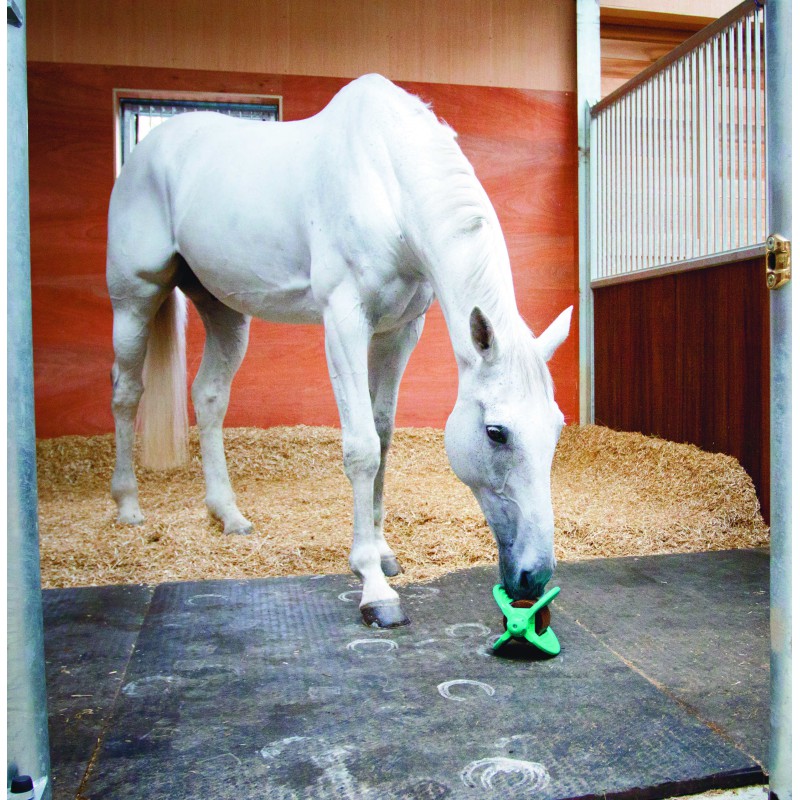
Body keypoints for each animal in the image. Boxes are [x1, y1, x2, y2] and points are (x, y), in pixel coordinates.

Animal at [107, 74, 572, 628]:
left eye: (557, 428)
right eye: (495, 433)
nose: (534, 577)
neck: (386, 179)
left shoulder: (399, 332)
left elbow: (383, 434)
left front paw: (382, 552)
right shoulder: (345, 322)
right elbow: (362, 447)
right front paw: (374, 587)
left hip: (224, 312)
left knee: (209, 396)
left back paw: (228, 514)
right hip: (134, 300)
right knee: (126, 393)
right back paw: (128, 507)